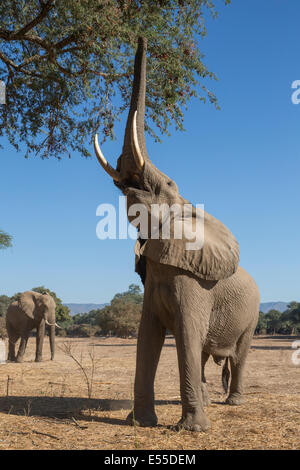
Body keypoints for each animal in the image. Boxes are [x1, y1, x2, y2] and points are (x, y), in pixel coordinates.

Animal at [94, 38, 260, 432]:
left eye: (168, 185)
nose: (141, 37)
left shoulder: (194, 283)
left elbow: (184, 335)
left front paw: (193, 430)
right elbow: (146, 337)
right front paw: (140, 423)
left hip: (254, 315)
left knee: (238, 354)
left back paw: (232, 403)